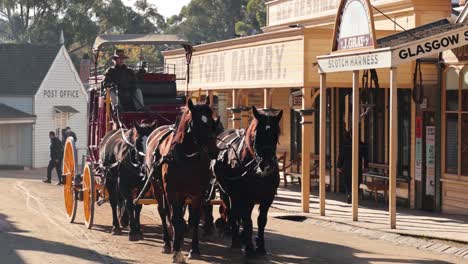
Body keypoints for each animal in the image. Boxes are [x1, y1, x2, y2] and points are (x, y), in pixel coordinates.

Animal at [212, 106, 282, 256]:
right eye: (256, 135)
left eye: (276, 135)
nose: (267, 164)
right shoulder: (244, 197)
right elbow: (247, 220)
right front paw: (249, 248)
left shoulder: (267, 197)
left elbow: (261, 221)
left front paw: (260, 246)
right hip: (227, 192)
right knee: (233, 212)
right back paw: (235, 239)